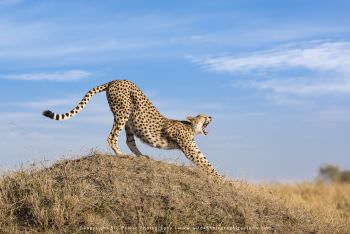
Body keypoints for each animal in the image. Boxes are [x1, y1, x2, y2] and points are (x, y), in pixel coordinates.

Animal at [43, 80, 221, 177]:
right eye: (204, 117)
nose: (211, 117)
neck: (191, 127)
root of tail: (114, 80)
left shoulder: (192, 147)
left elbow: (204, 160)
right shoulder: (189, 148)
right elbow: (205, 163)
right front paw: (221, 179)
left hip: (130, 120)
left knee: (129, 141)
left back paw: (141, 156)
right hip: (123, 112)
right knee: (112, 136)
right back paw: (121, 154)